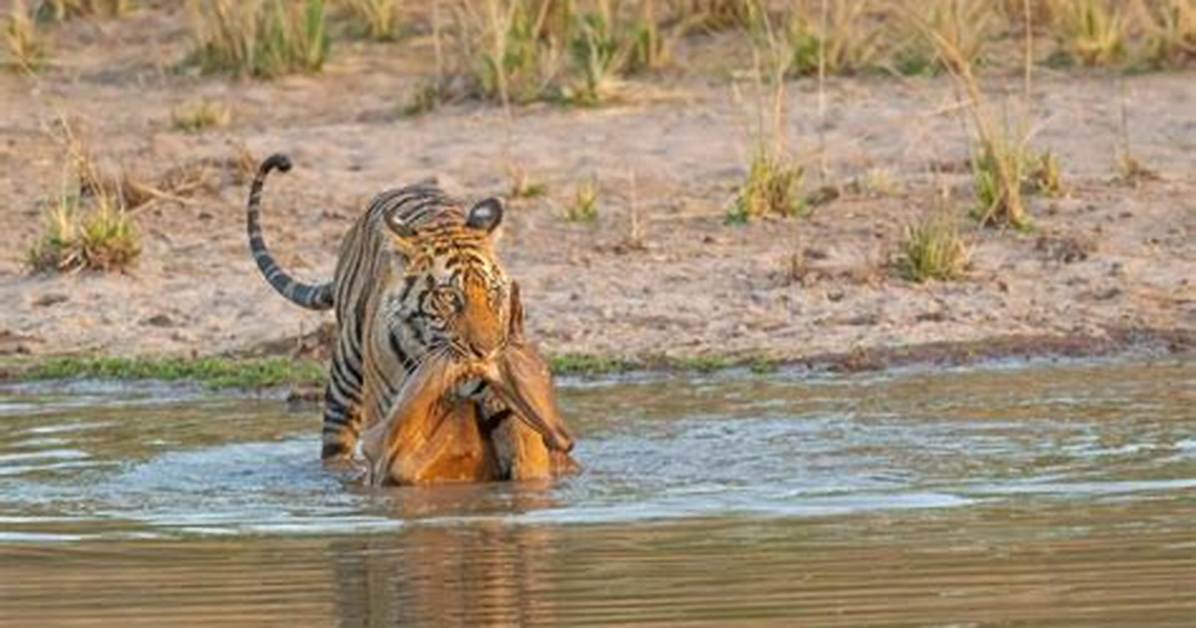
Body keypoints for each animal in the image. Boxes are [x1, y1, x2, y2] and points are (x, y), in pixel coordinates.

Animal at [246, 153, 571, 468]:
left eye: (493, 293)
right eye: (449, 297)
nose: (486, 351)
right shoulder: (386, 415)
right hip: (345, 378)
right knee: (336, 444)